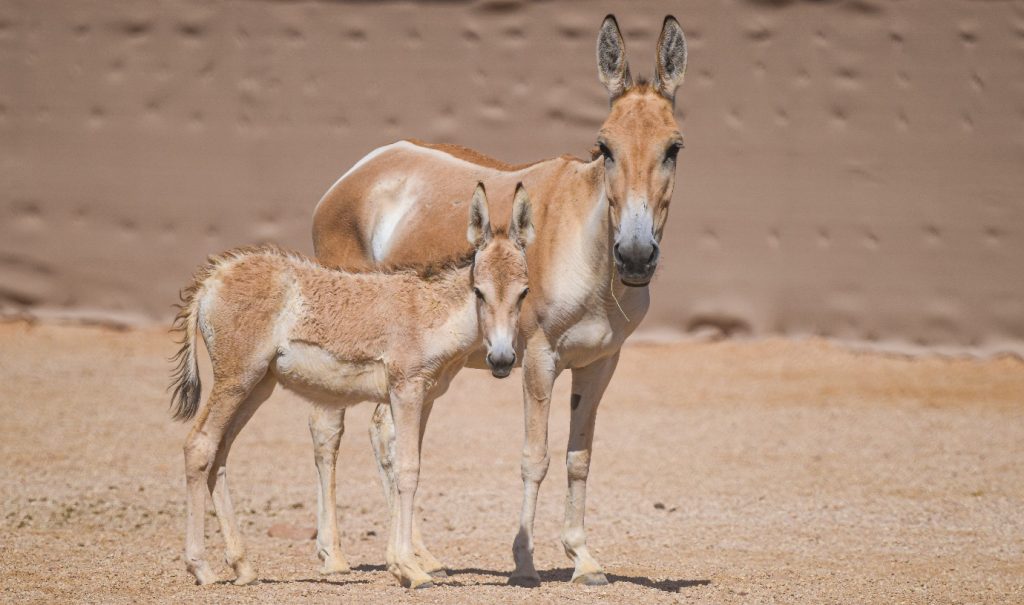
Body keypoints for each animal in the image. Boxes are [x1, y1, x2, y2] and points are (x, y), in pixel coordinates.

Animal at [167, 183, 536, 585]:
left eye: (524, 292)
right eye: (479, 291)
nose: (501, 359)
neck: (431, 312)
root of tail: (214, 276)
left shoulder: (421, 397)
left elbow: (404, 465)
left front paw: (402, 564)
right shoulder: (406, 390)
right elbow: (407, 469)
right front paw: (410, 569)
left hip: (256, 386)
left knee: (219, 452)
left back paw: (243, 565)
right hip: (235, 380)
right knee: (199, 446)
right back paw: (201, 567)